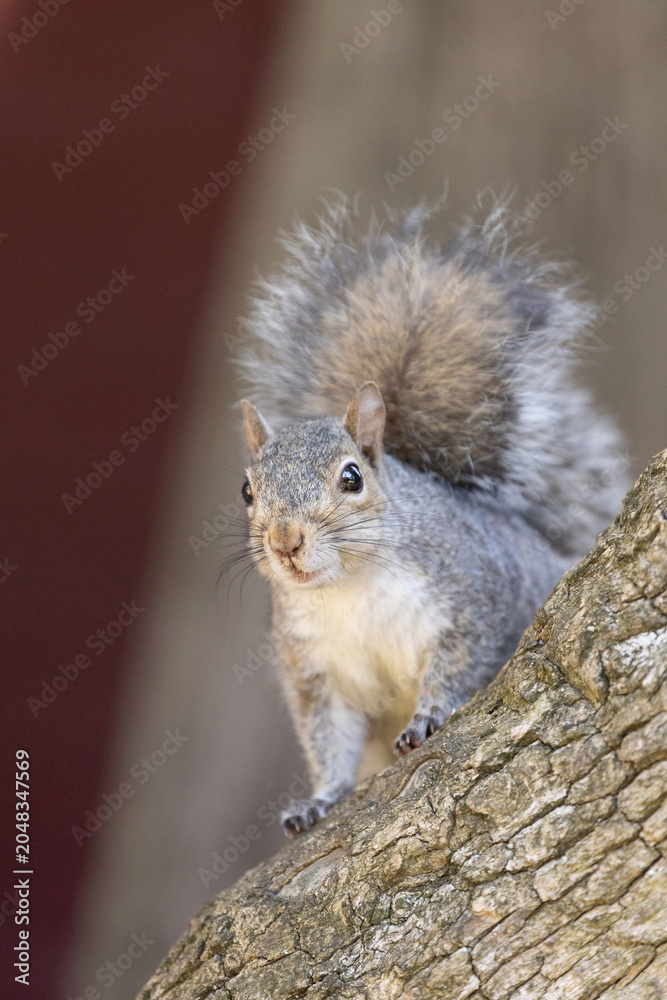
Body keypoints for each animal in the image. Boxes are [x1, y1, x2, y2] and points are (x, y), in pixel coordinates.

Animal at [235, 200, 627, 837]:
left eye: (352, 477)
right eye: (247, 490)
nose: (285, 541)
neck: (348, 588)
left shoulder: (475, 598)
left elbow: (456, 668)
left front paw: (426, 717)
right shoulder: (313, 669)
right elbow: (329, 738)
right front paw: (320, 799)